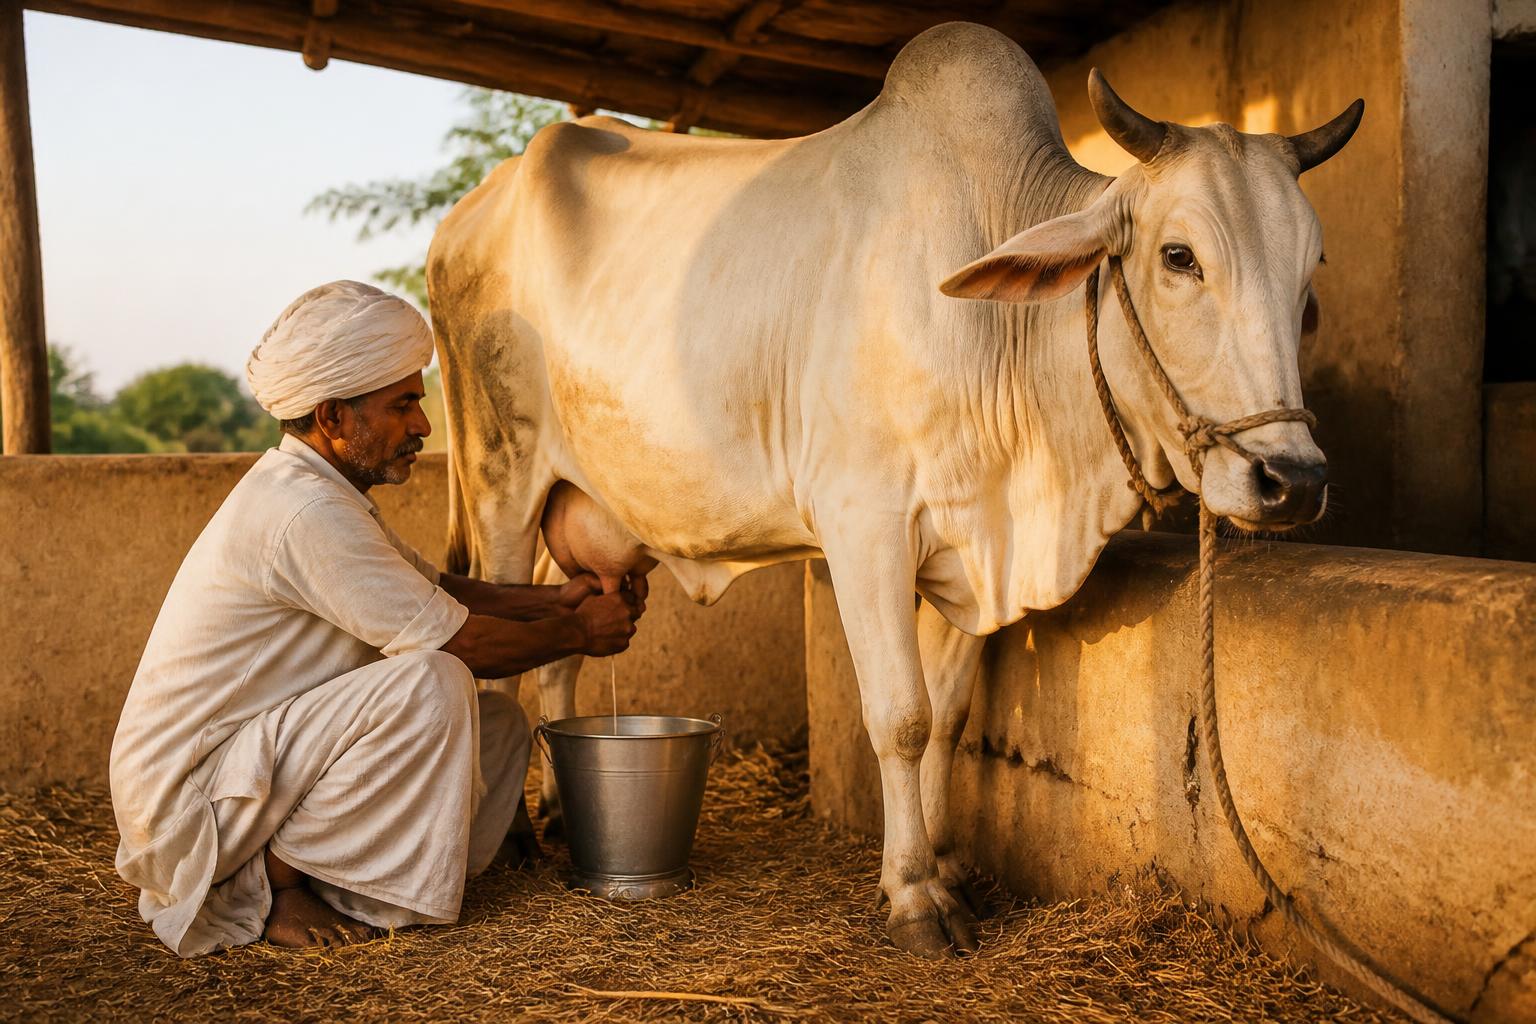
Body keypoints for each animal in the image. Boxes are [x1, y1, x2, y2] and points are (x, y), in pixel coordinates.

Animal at [426, 21, 1360, 958]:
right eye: (1178, 257)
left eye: (1311, 268)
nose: (1292, 479)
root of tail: (465, 218)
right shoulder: (865, 528)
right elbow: (901, 717)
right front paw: (912, 894)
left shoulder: (970, 545)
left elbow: (948, 717)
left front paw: (947, 870)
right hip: (501, 480)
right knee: (495, 667)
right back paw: (511, 838)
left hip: (581, 501)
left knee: (557, 642)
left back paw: (554, 809)